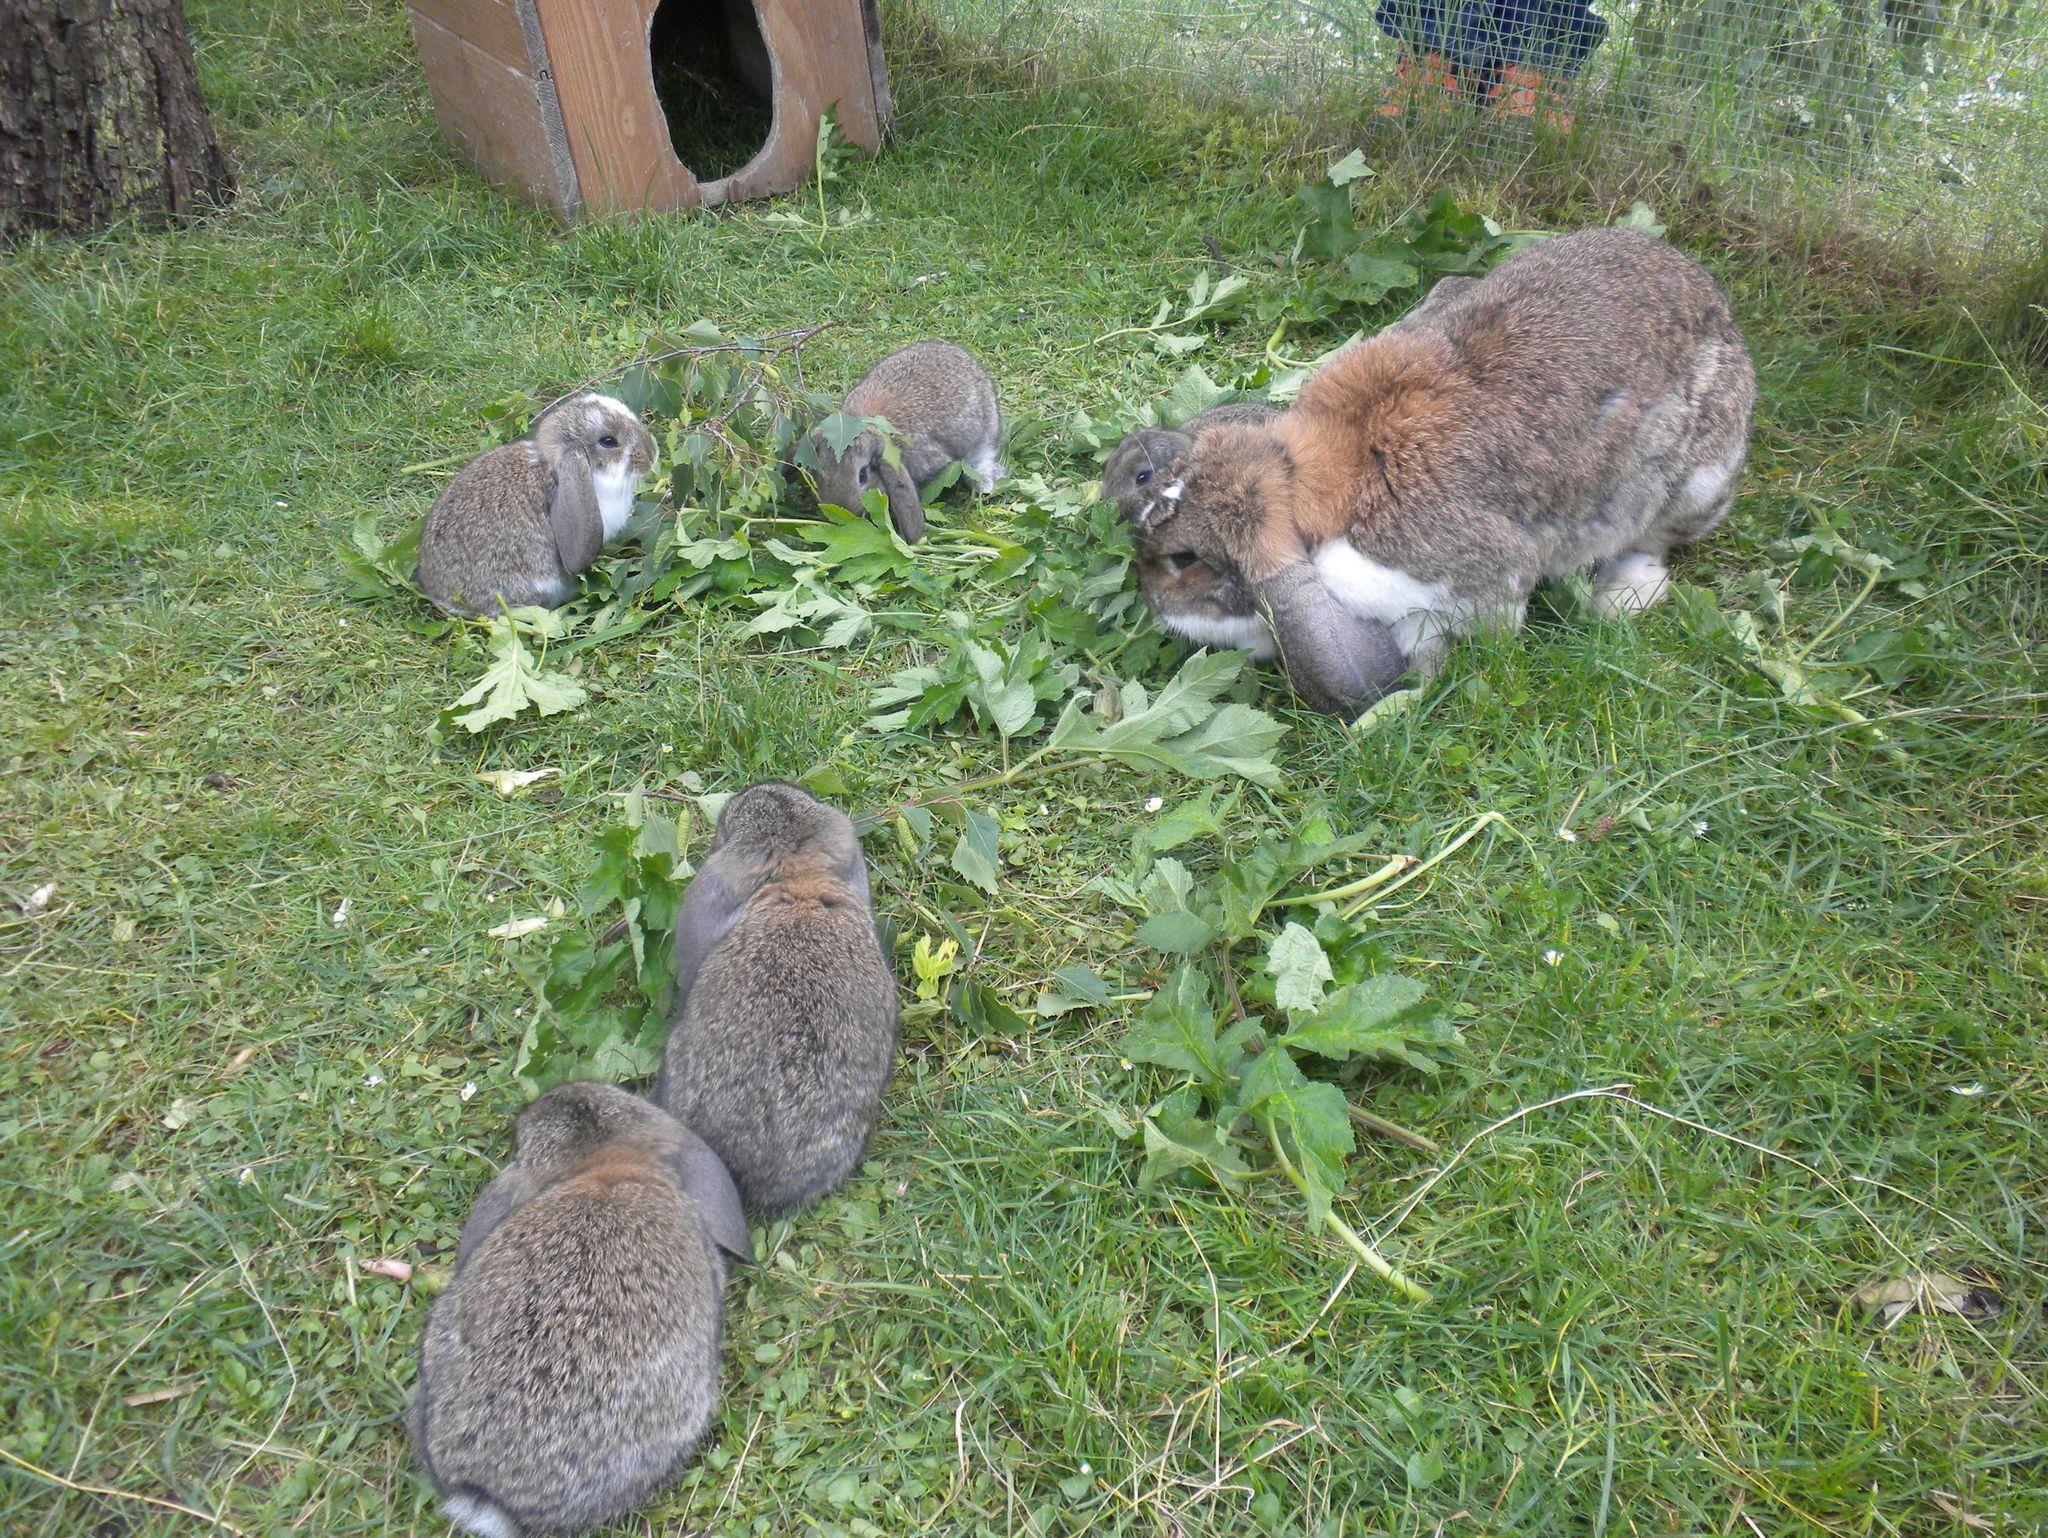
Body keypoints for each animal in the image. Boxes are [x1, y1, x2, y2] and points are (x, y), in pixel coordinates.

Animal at [1129, 228, 1756, 715]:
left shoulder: (1471, 584)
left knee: (1657, 540)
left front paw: (1396, 708)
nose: (1154, 609)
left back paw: (1621, 596)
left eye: (1184, 560)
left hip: (1696, 481)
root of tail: (1722, 309)